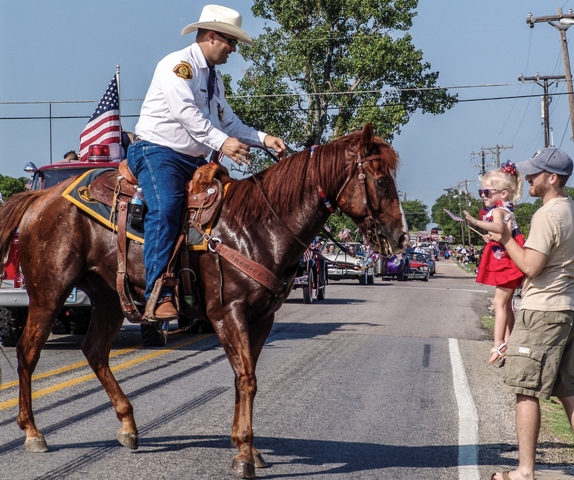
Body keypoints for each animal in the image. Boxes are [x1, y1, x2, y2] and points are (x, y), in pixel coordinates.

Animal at [0, 123, 410, 476]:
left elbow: (244, 377)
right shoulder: (228, 313)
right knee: (28, 351)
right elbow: (247, 379)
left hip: (109, 297)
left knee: (95, 350)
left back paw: (128, 424)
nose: (401, 238)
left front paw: (248, 449)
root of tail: (41, 197)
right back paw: (34, 433)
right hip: (49, 291)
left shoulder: (261, 318)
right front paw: (244, 453)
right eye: (379, 180)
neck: (257, 225)